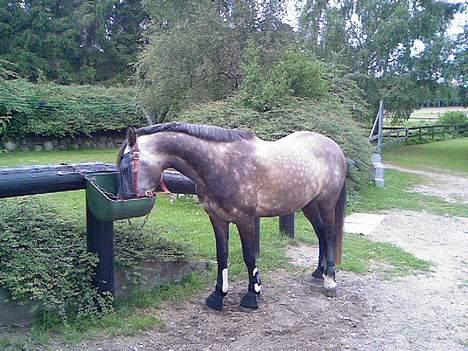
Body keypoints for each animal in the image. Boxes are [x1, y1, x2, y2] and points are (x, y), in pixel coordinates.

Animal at [117, 122, 348, 312]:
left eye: (127, 167)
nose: (123, 201)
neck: (222, 164)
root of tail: (334, 147)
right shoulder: (217, 218)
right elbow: (222, 254)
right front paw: (218, 295)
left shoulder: (245, 219)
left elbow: (249, 256)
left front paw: (252, 295)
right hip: (309, 204)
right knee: (320, 233)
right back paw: (318, 272)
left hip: (326, 203)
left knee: (329, 234)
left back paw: (330, 280)